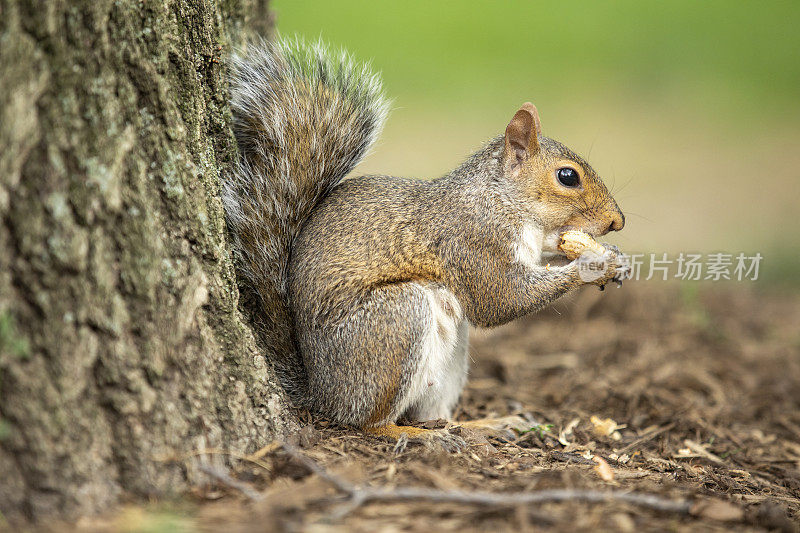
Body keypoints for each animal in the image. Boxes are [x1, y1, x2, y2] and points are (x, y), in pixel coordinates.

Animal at [222, 35, 628, 446]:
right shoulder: (471, 241)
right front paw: (593, 264)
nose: (617, 221)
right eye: (567, 176)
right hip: (394, 322)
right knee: (367, 422)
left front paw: (613, 257)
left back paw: (482, 425)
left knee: (433, 412)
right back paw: (417, 435)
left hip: (450, 353)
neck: (500, 199)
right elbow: (502, 300)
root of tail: (321, 390)